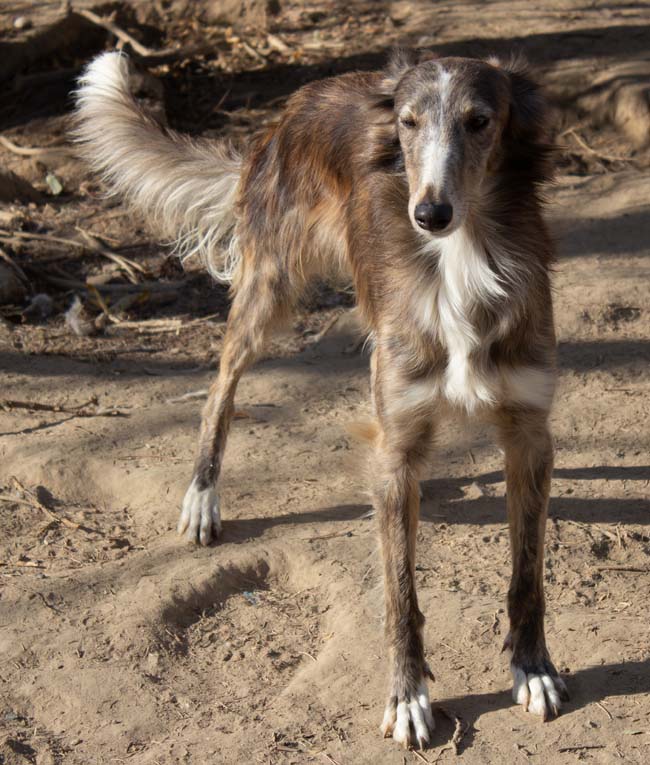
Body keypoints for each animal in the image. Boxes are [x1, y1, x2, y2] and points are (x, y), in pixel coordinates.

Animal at [75, 49, 568, 749]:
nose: (430, 214)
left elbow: (527, 573)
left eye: (479, 121)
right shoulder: (397, 445)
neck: (460, 257)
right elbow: (399, 594)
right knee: (218, 390)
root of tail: (298, 102)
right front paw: (408, 697)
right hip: (268, 288)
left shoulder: (529, 434)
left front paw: (533, 669)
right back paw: (202, 496)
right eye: (410, 123)